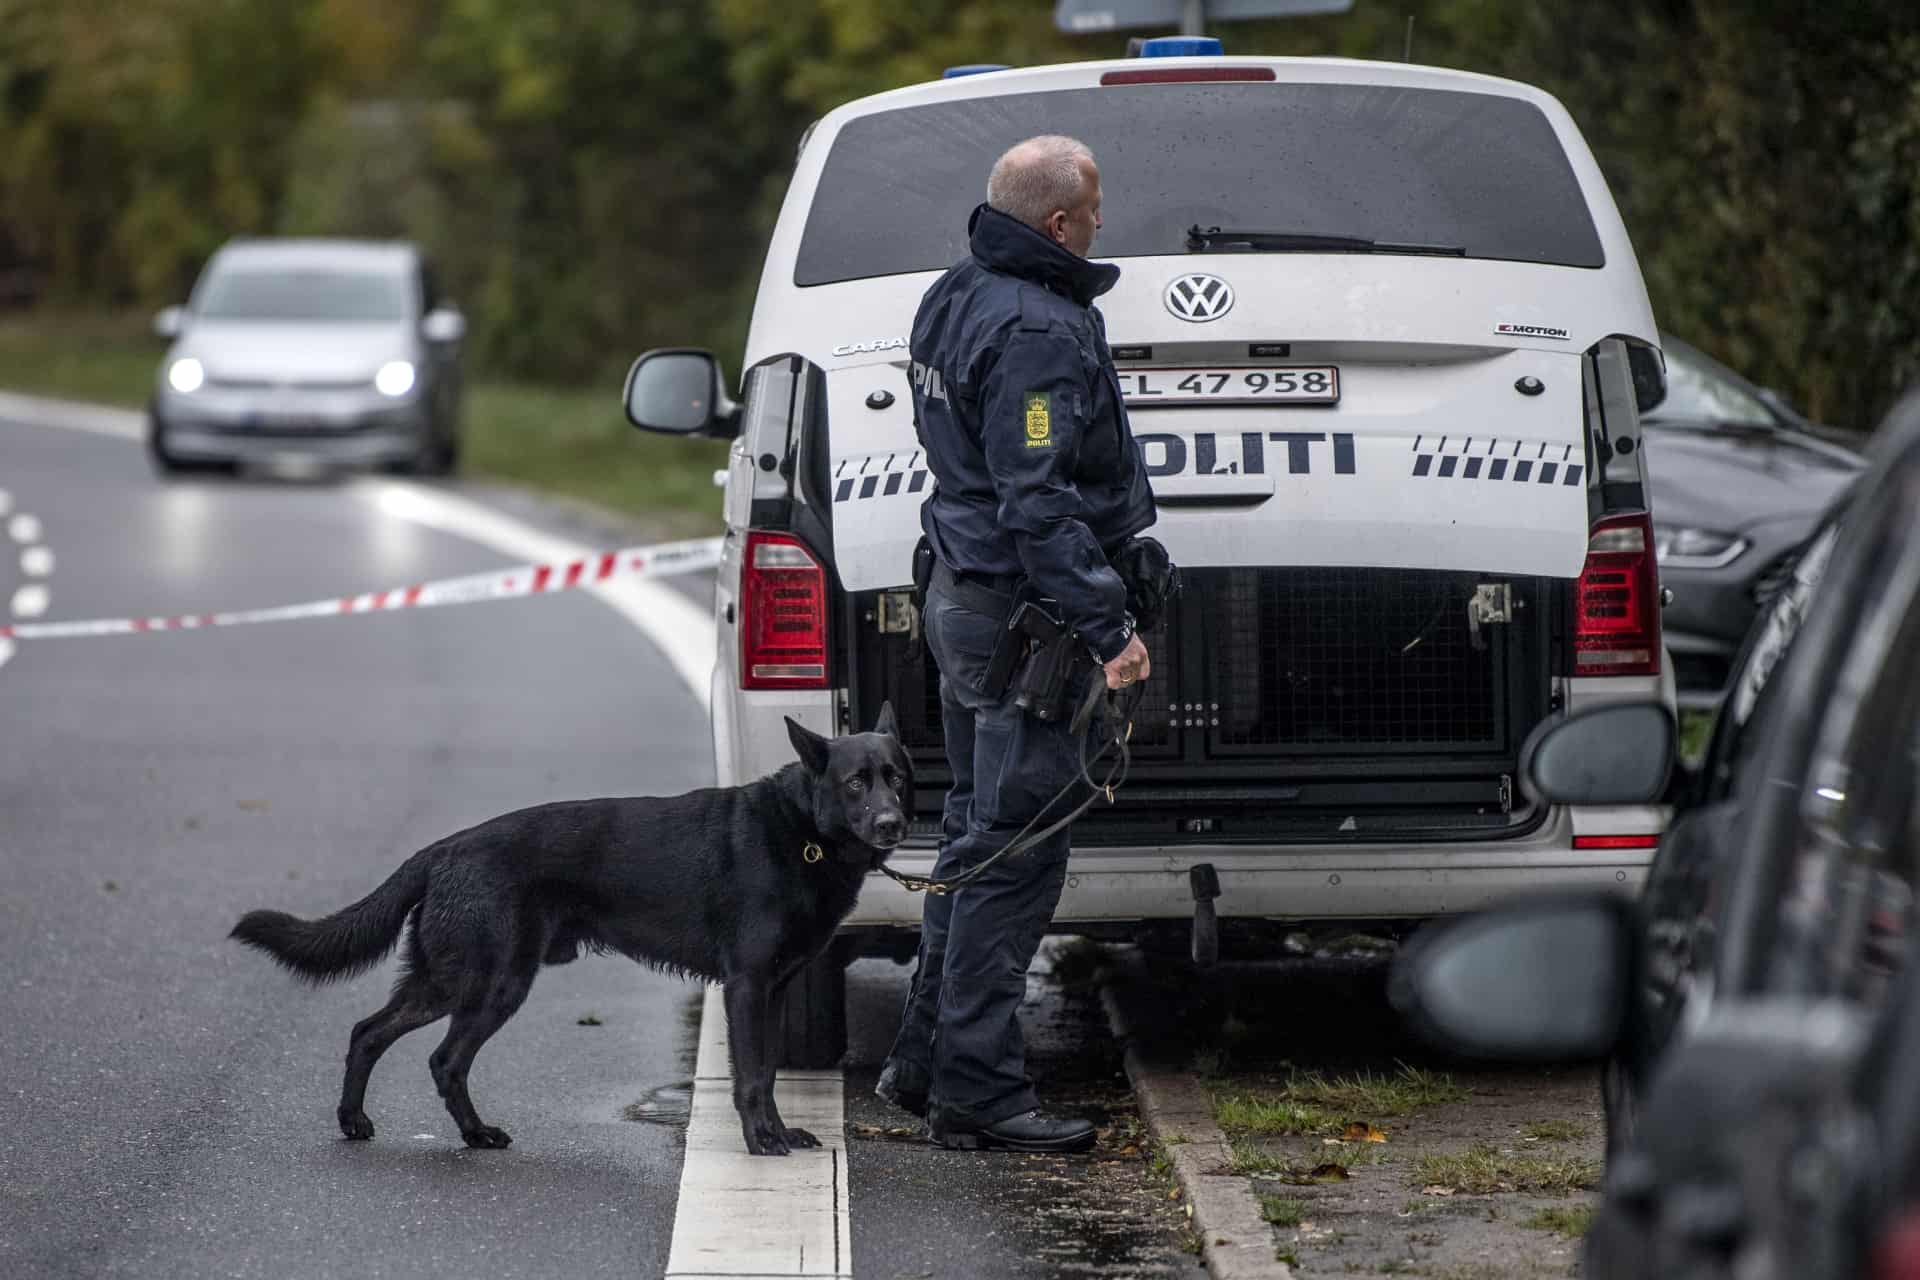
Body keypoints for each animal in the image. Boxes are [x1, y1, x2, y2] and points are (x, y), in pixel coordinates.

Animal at [230, 706, 906, 1159]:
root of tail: (442, 849)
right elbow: (753, 1078)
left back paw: (378, 1124)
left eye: (897, 776)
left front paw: (779, 1132)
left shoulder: (773, 991)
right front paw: (761, 1141)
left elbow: (765, 1074)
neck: (804, 830)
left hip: (457, 980)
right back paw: (458, 1131)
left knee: (374, 1034)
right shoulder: (746, 988)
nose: (894, 824)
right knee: (438, 1057)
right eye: (855, 782)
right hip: (484, 982)